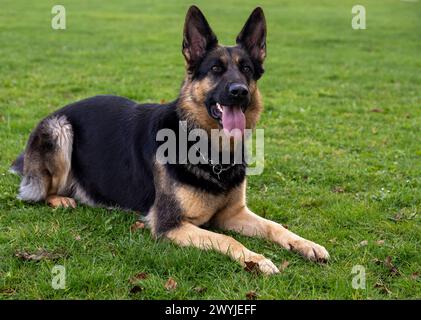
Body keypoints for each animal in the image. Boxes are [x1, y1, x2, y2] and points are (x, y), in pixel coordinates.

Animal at [10, 6, 328, 274]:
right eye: (216, 69)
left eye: (247, 69)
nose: (239, 91)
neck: (212, 154)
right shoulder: (171, 225)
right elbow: (228, 240)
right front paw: (257, 260)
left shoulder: (234, 214)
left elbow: (276, 226)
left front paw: (306, 244)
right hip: (60, 129)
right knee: (39, 191)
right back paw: (61, 198)